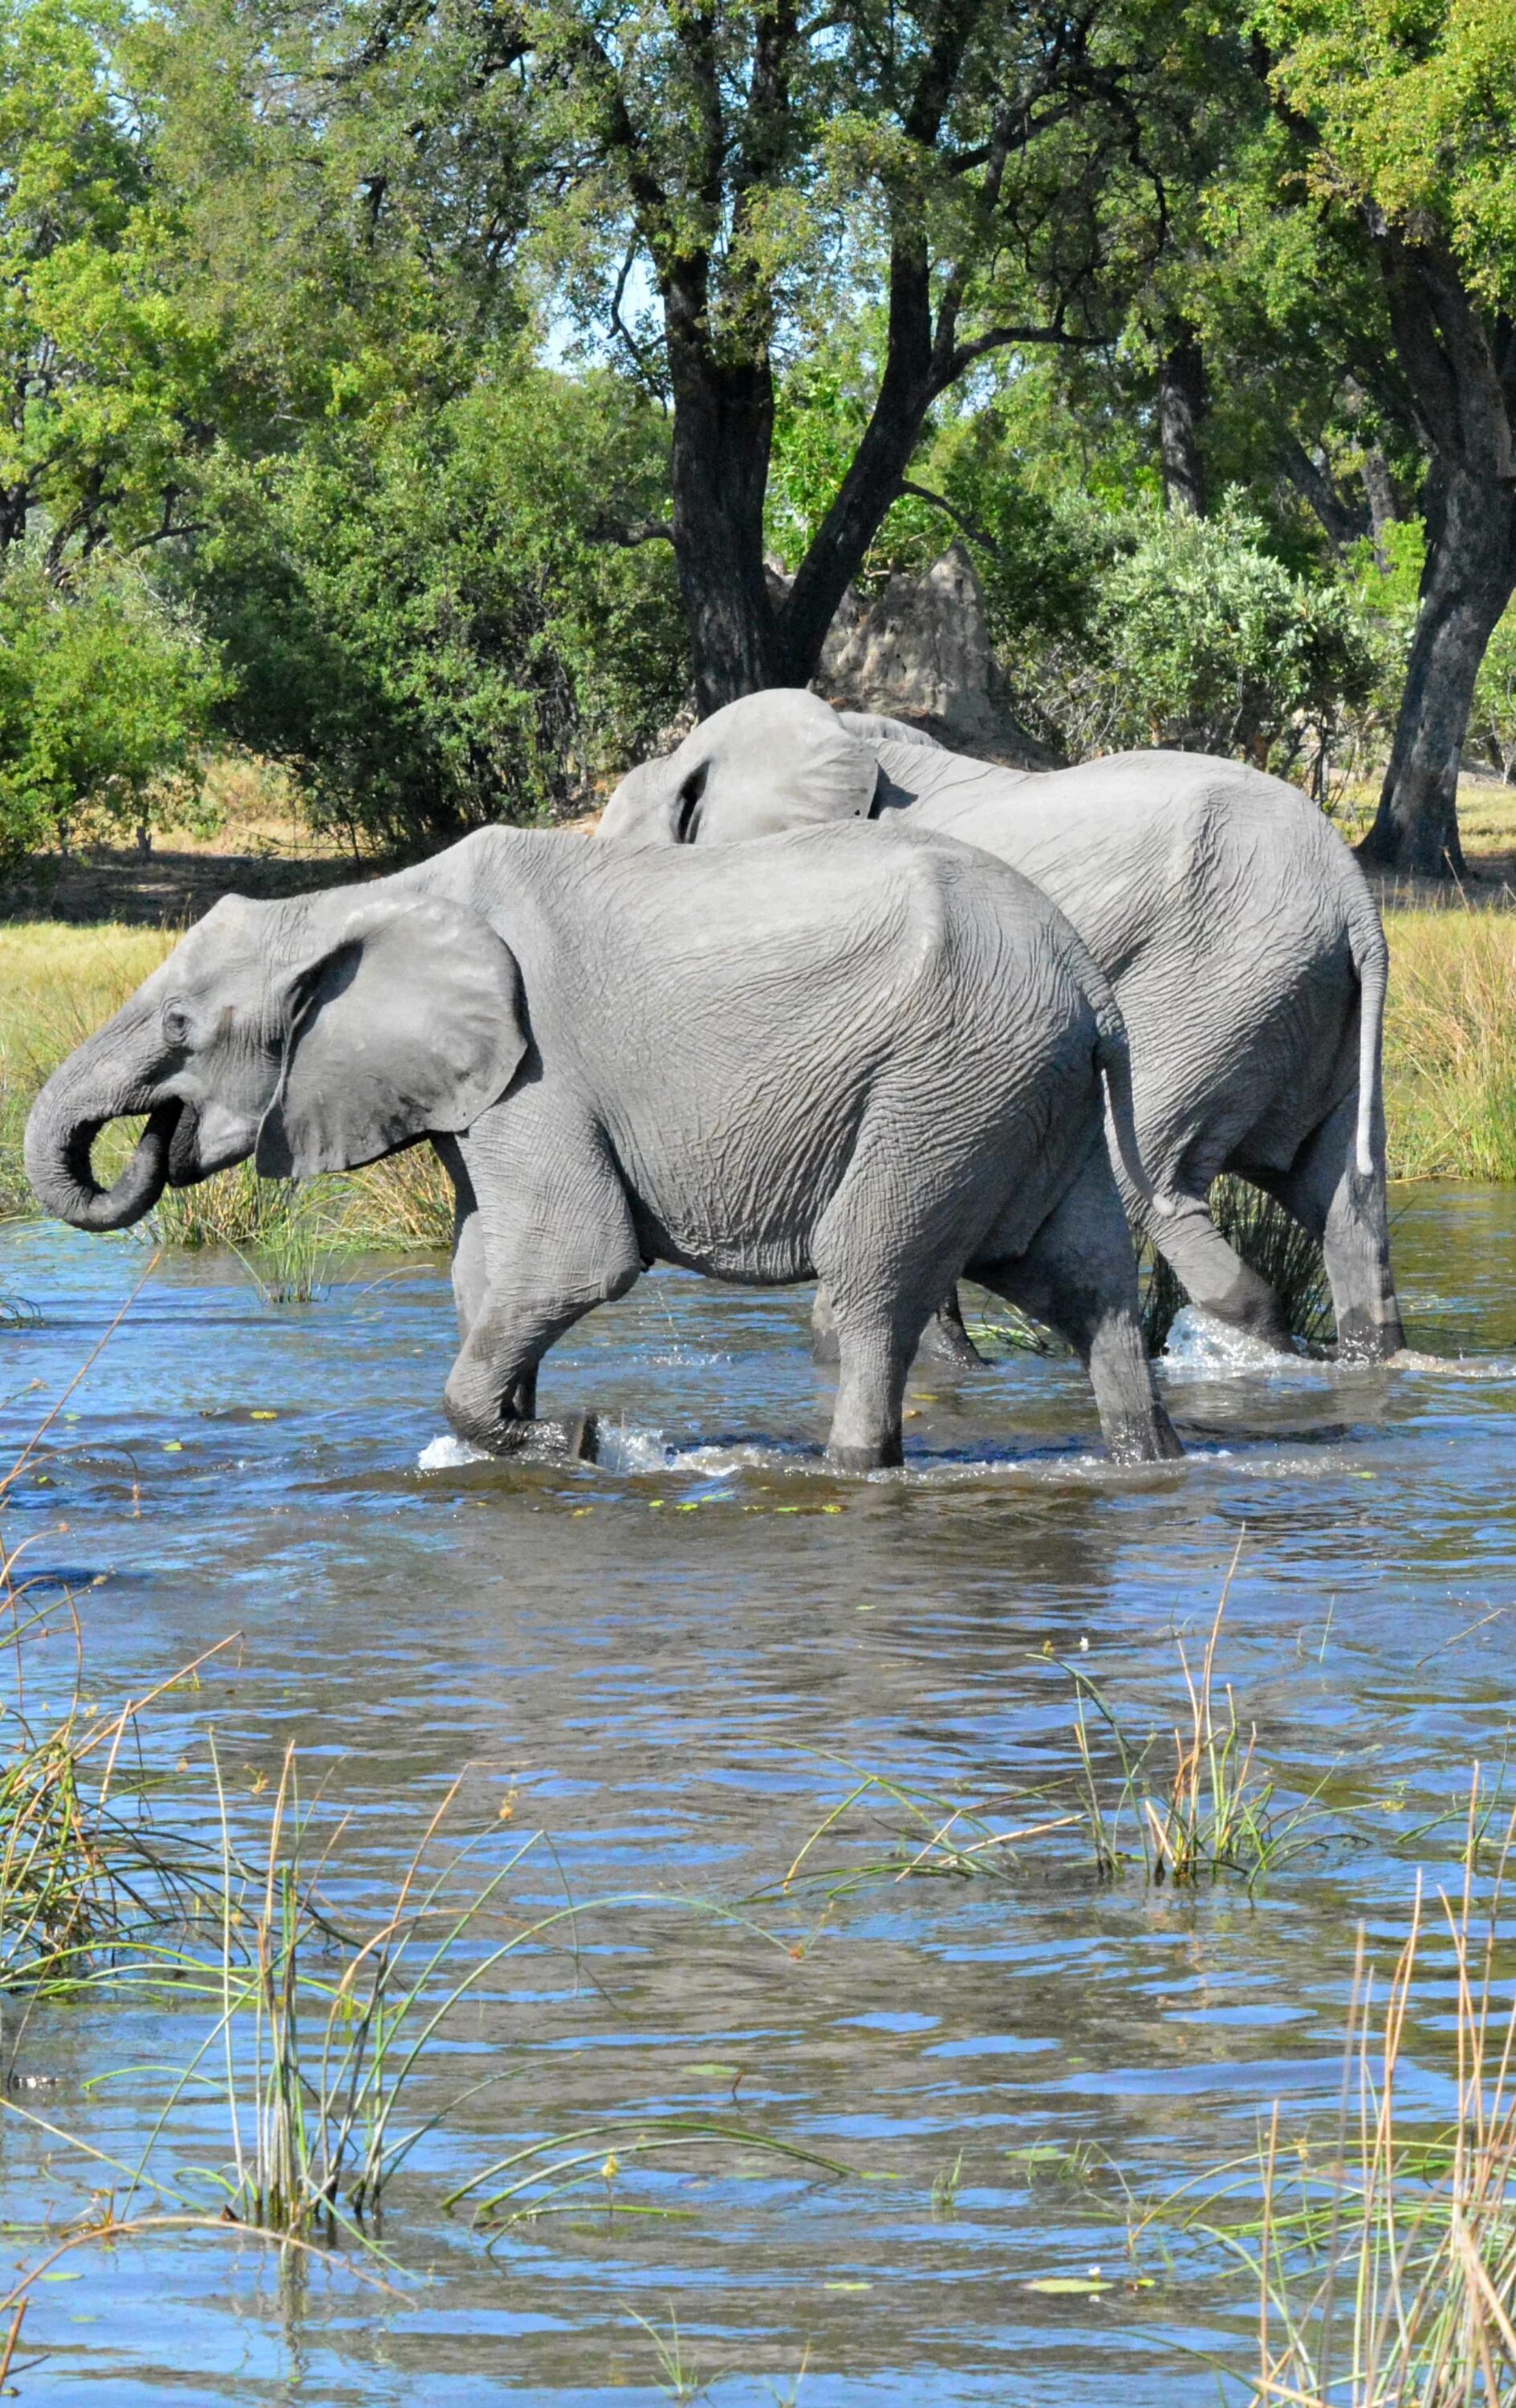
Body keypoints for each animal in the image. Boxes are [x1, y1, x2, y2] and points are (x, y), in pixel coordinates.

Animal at [20, 824, 1189, 1464]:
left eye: (180, 1028)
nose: (153, 1138)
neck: (355, 902)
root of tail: (1084, 976)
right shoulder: (478, 1094)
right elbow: (483, 1274)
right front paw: (530, 1431)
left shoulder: (537, 1075)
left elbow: (575, 1258)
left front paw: (572, 1442)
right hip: (1021, 1090)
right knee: (1085, 1289)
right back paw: (1149, 1458)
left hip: (945, 1080)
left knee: (864, 1294)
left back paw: (851, 1469)